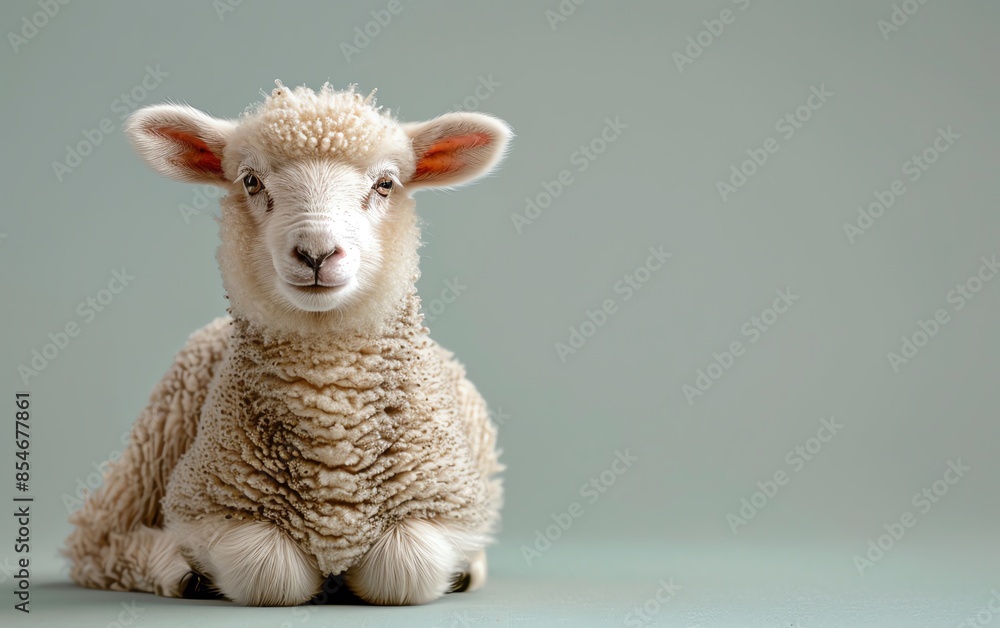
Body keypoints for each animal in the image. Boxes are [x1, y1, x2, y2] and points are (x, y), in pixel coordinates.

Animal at [63, 81, 510, 606]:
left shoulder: (451, 500)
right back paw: (178, 571)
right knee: (95, 539)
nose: (316, 253)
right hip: (151, 450)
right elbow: (268, 569)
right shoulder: (205, 501)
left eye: (385, 184)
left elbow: (405, 565)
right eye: (251, 181)